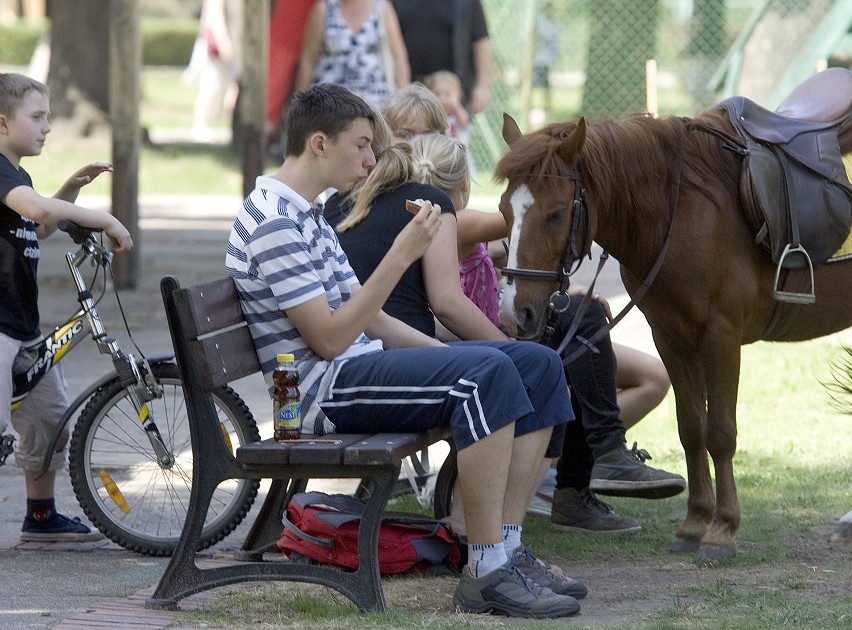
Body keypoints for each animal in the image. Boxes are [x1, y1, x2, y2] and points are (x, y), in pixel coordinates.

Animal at [492, 85, 852, 564]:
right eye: (502, 210)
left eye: (555, 213)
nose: (515, 313)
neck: (682, 212)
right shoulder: (670, 336)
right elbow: (691, 429)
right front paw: (695, 523)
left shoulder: (721, 336)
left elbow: (720, 433)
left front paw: (722, 530)